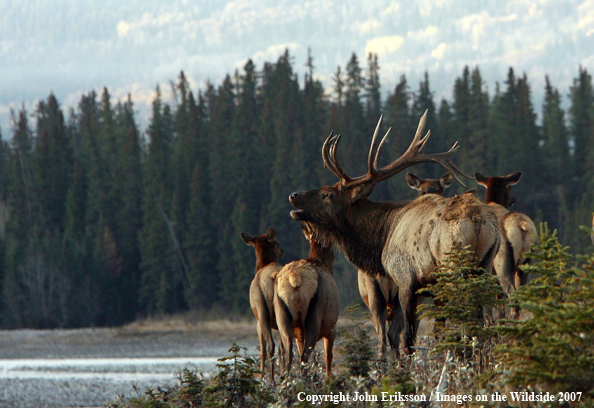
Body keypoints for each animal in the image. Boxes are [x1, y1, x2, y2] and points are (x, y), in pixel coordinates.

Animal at [239, 228, 284, 380]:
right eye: (277, 243)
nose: (282, 251)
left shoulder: (257, 320)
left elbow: (262, 350)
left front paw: (261, 375)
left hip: (262, 310)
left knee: (270, 346)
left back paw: (271, 380)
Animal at [272, 223, 338, 376]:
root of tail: (295, 277)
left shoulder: (299, 335)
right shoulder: (332, 328)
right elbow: (328, 357)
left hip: (282, 316)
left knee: (289, 355)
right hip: (314, 315)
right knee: (304, 357)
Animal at [290, 111, 498, 354]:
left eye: (329, 195)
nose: (294, 195)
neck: (382, 236)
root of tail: (477, 218)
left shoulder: (405, 279)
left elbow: (407, 337)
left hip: (454, 267)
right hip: (485, 265)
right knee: (482, 321)